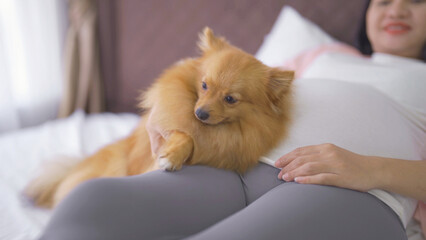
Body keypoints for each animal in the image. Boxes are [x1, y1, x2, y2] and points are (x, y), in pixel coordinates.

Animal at [25, 27, 292, 208]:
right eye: (204, 85)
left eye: (230, 99)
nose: (199, 113)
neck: (219, 129)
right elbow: (185, 134)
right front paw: (171, 156)